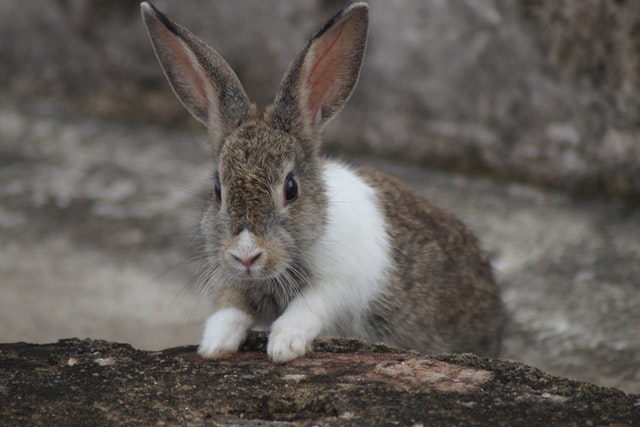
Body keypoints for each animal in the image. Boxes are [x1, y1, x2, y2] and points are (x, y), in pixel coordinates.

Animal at [141, 1, 504, 362]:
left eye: (290, 189)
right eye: (218, 190)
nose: (246, 256)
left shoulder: (340, 283)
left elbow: (309, 305)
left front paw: (284, 345)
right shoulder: (229, 277)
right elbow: (230, 308)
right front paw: (215, 345)